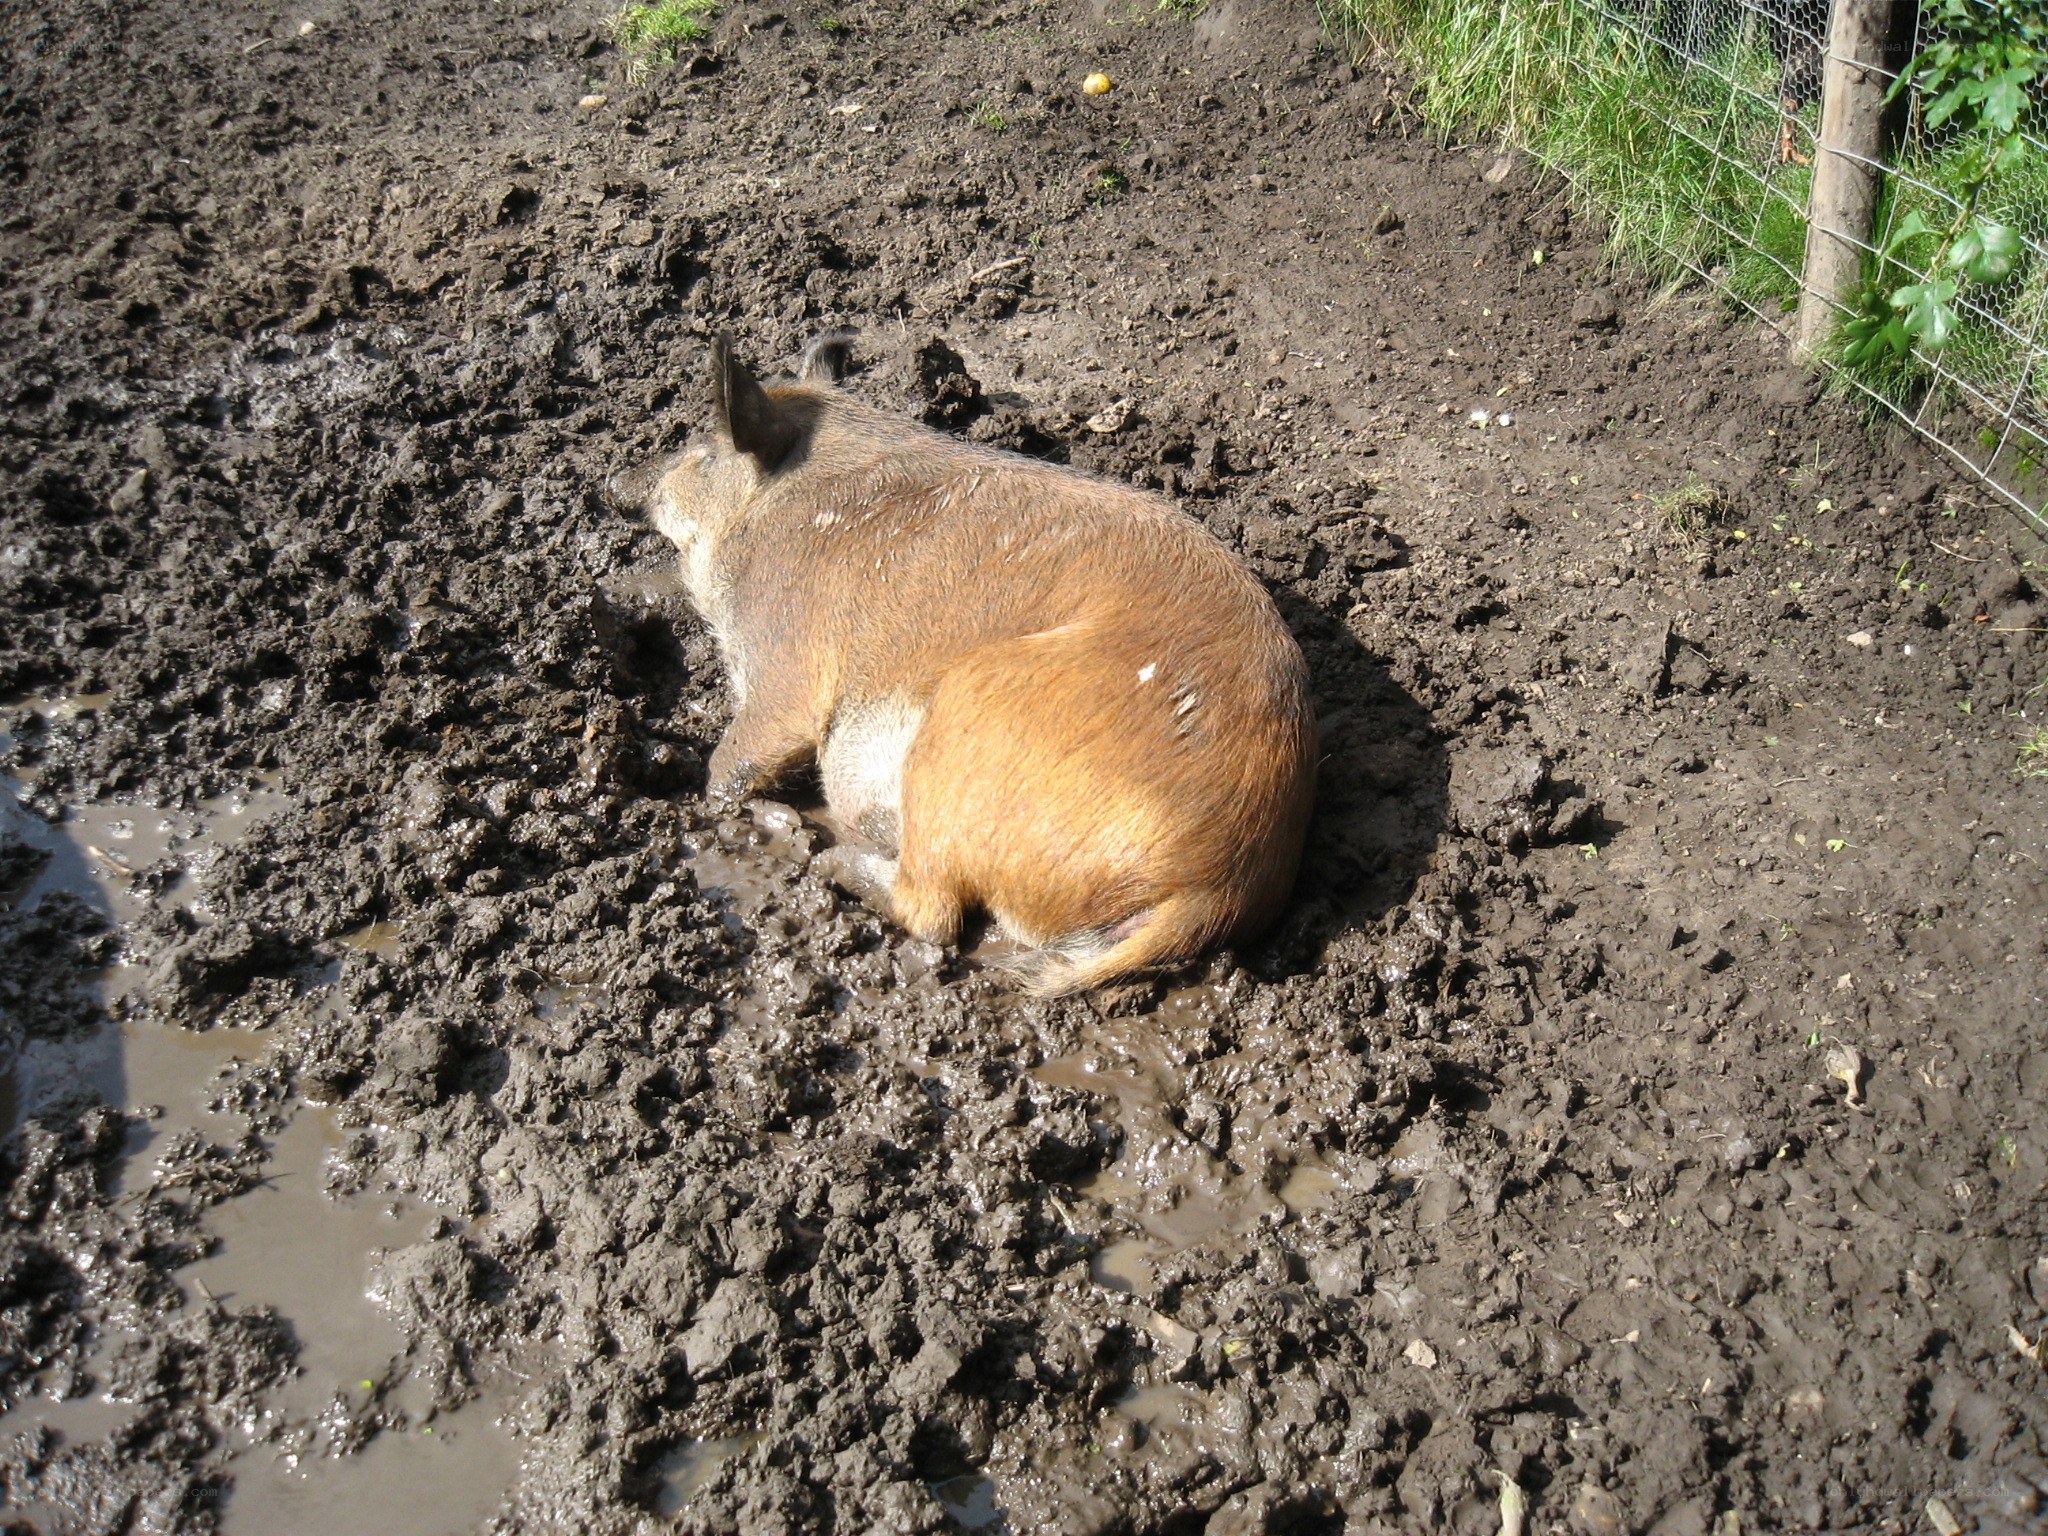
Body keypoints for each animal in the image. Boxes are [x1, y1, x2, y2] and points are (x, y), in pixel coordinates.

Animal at [612, 333, 1315, 995]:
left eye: (705, 449)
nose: (618, 482)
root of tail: (1219, 887)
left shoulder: (784, 659)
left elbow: (733, 763)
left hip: (965, 714)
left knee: (931, 911)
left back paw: (808, 844)